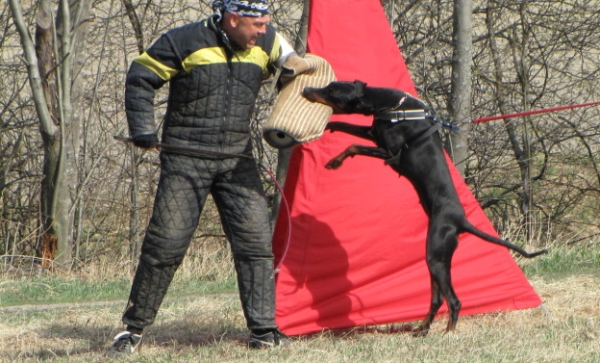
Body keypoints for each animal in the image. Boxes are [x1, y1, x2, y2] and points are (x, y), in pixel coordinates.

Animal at [302, 81, 548, 336]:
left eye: (332, 92)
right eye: (328, 85)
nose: (305, 90)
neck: (391, 106)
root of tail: (460, 220)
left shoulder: (390, 152)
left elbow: (354, 146)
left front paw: (334, 161)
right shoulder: (374, 133)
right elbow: (347, 127)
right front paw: (328, 127)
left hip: (435, 255)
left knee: (454, 300)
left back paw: (448, 332)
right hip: (436, 260)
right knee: (437, 299)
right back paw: (422, 329)